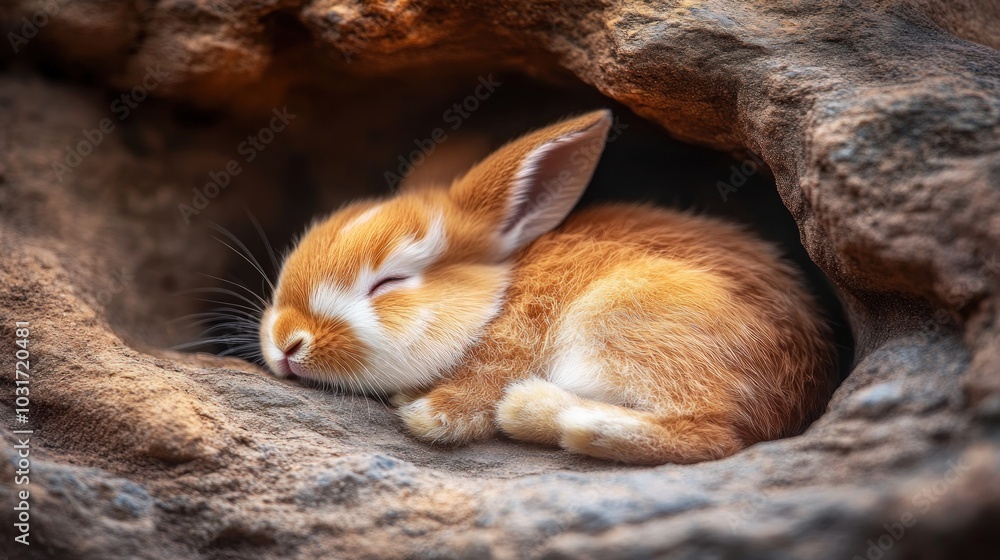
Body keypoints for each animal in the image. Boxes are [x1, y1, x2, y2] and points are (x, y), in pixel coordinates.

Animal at [260, 109, 836, 464]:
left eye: (390, 282)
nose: (287, 342)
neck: (497, 298)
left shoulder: (508, 347)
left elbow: (469, 396)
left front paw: (424, 411)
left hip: (624, 322)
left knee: (711, 435)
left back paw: (531, 410)